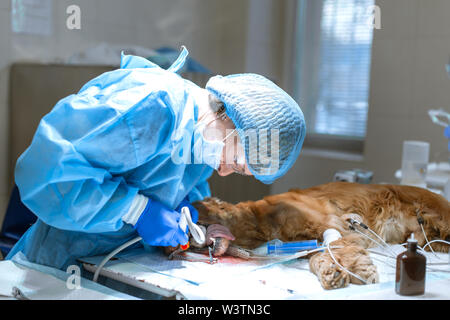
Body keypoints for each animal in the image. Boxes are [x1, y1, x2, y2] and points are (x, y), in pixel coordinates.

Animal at [192, 182, 448, 290]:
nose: (185, 244)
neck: (258, 220)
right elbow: (317, 255)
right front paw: (331, 271)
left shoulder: (337, 225)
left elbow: (334, 248)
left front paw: (357, 270)